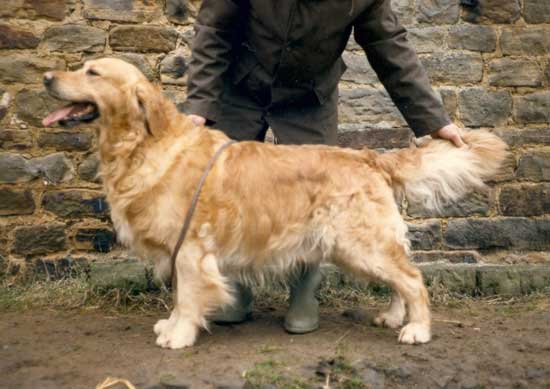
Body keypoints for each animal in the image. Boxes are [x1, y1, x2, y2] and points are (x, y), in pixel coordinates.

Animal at [43, 57, 508, 348]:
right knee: (401, 279)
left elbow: (188, 296)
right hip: (358, 247)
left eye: (92, 71)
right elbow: (179, 297)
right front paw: (171, 325)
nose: (47, 77)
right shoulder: (181, 250)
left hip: (360, 243)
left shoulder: (191, 248)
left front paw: (179, 335)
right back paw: (396, 317)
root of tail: (367, 155)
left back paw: (417, 330)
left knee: (413, 279)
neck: (142, 144)